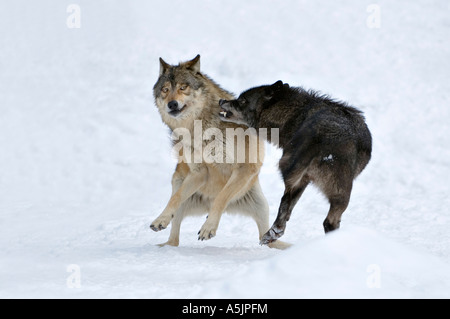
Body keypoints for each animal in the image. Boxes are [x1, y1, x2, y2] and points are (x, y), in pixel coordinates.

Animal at [150, 56, 288, 250]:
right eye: (165, 90)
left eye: (183, 87)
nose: (172, 104)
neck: (200, 129)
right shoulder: (199, 173)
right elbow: (175, 199)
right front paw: (160, 220)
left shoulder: (245, 168)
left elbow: (221, 196)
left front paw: (209, 227)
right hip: (179, 182)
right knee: (174, 237)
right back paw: (165, 242)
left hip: (261, 205)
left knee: (264, 236)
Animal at [219, 82, 372, 245]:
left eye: (242, 100)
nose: (221, 100)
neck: (294, 114)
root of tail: (319, 136)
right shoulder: (303, 179)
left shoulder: (302, 179)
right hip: (338, 192)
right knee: (324, 220)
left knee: (292, 205)